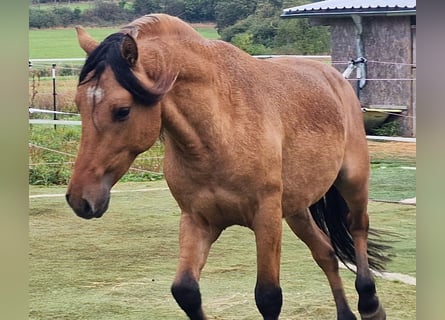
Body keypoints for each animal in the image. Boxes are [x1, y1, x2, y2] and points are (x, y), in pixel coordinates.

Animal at [65, 13, 388, 320]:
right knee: (326, 253)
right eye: (79, 104)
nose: (80, 199)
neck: (220, 130)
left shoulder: (266, 217)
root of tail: (334, 77)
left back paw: (370, 304)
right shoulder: (198, 220)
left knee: (357, 228)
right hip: (296, 209)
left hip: (353, 181)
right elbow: (185, 291)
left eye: (122, 110)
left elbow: (268, 297)